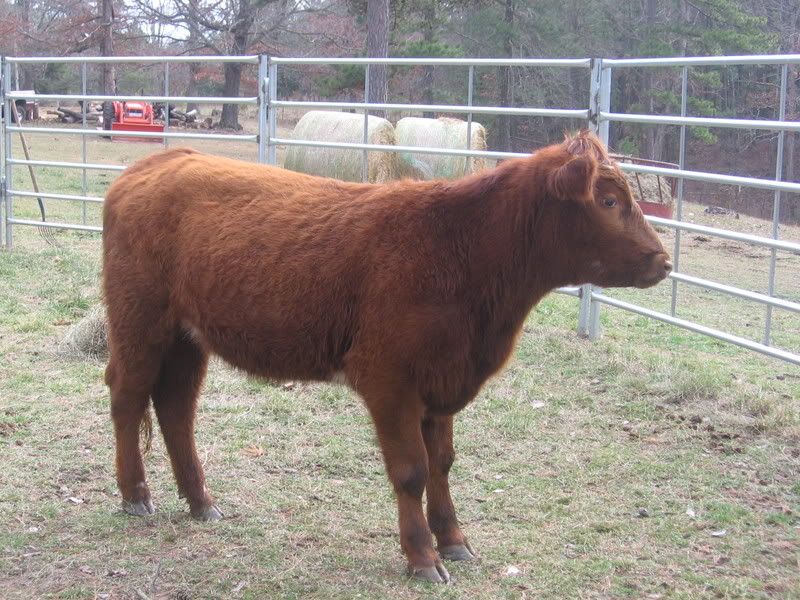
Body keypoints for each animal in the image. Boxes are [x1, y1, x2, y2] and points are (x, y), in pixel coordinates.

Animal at [102, 130, 671, 583]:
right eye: (608, 200)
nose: (663, 261)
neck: (462, 253)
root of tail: (160, 162)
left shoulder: (442, 382)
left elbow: (442, 463)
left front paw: (455, 541)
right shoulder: (389, 380)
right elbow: (411, 470)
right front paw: (422, 557)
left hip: (186, 338)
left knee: (176, 408)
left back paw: (201, 502)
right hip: (138, 321)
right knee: (128, 397)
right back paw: (135, 495)